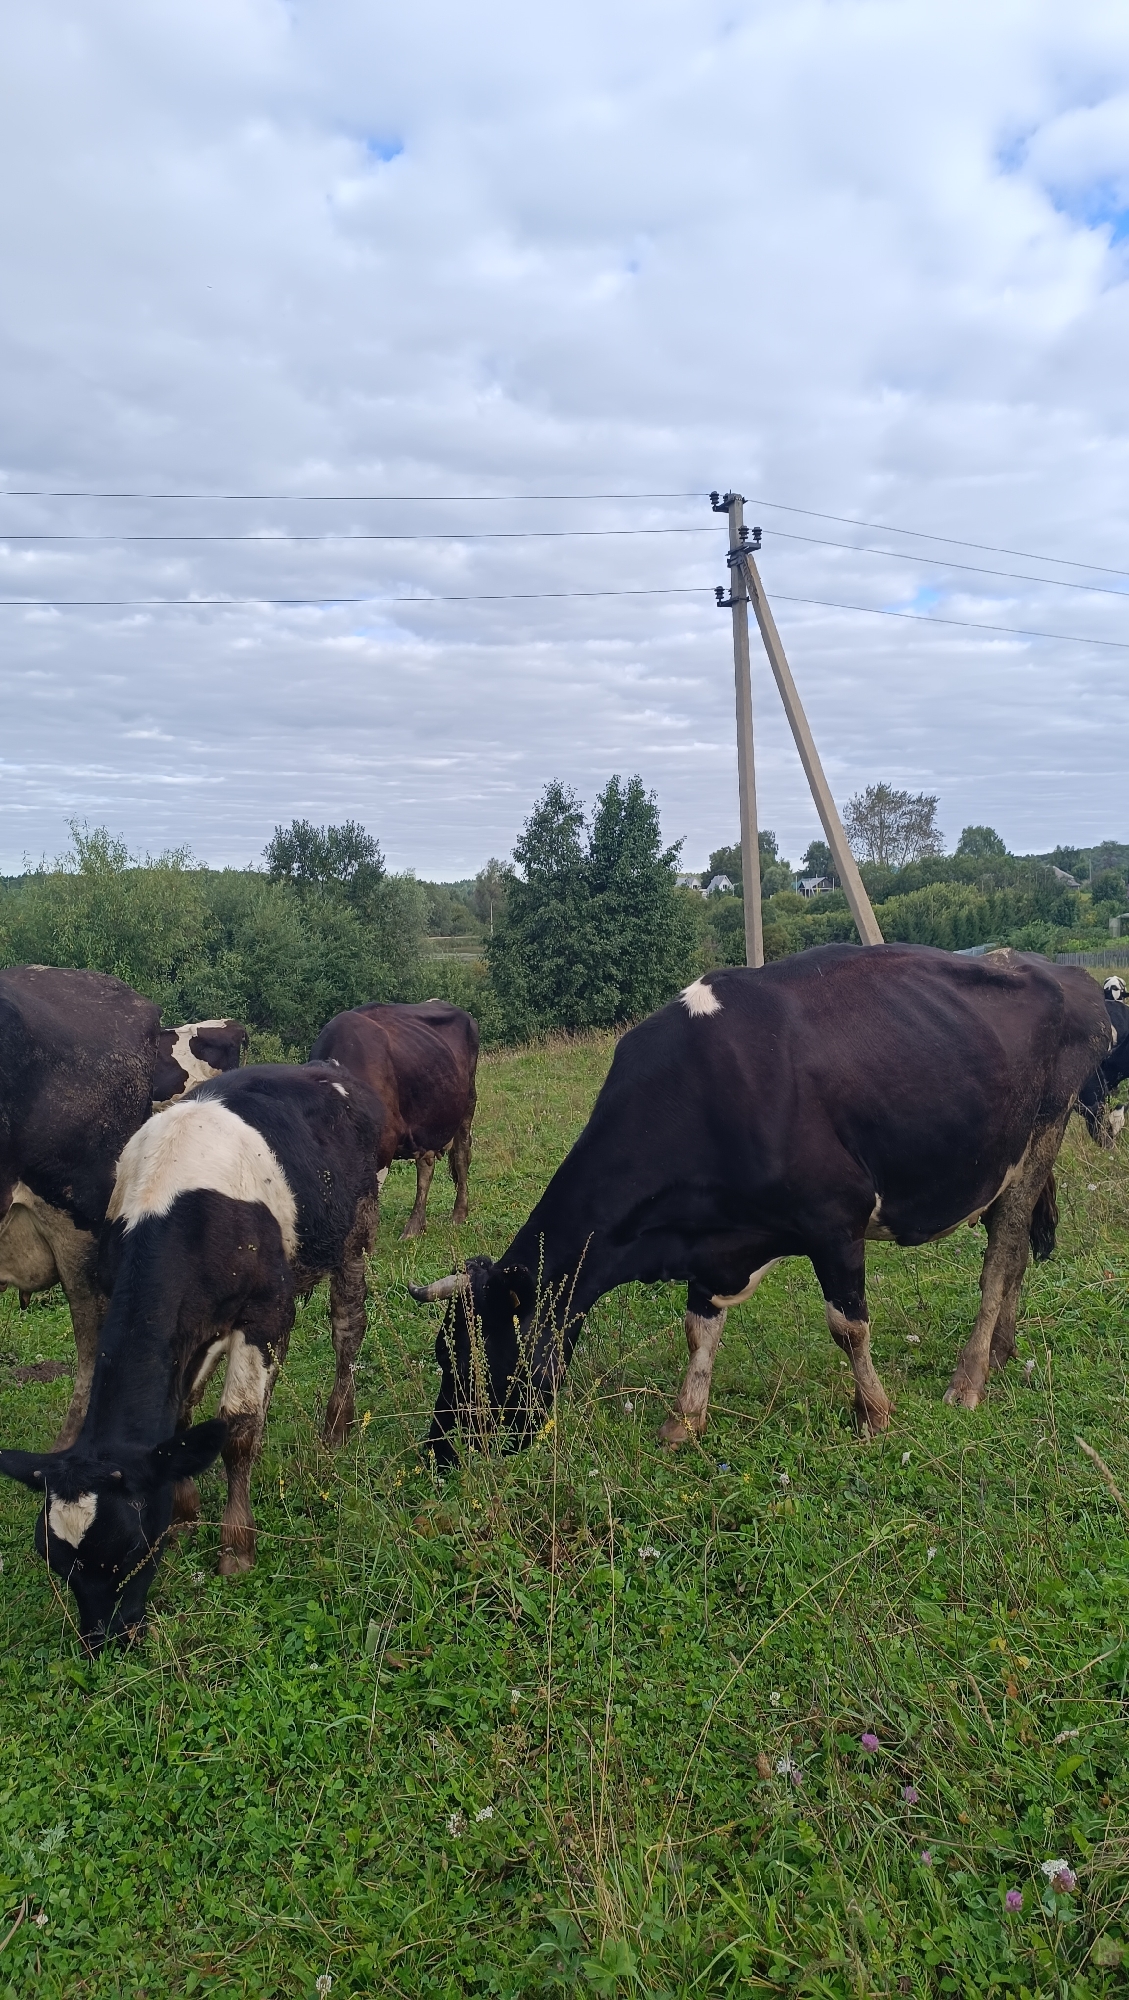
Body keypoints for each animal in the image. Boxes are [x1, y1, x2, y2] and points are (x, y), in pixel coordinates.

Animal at [0, 1061, 388, 1649]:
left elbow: (239, 1429)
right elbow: (182, 1418)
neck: (175, 1203)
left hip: (355, 1233)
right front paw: (184, 1515)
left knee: (347, 1329)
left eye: (133, 1548)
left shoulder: (261, 1315)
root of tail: (327, 1070)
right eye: (55, 1559)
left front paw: (236, 1547)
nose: (103, 1639)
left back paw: (337, 1427)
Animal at [310, 1000, 478, 1238]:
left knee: (462, 1155)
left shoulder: (384, 1144)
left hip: (467, 1104)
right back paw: (414, 1227)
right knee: (425, 1168)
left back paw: (459, 1215)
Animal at [408, 945, 1111, 1467]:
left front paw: (875, 1415)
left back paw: (969, 1379)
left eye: (473, 1355)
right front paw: (683, 1421)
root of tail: (1062, 972)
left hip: (1040, 1135)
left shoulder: (835, 1220)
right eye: (443, 1352)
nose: (440, 1452)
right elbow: (699, 1330)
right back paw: (1003, 1350)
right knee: (1014, 1253)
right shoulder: (713, 1244)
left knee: (1002, 1255)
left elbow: (848, 1327)